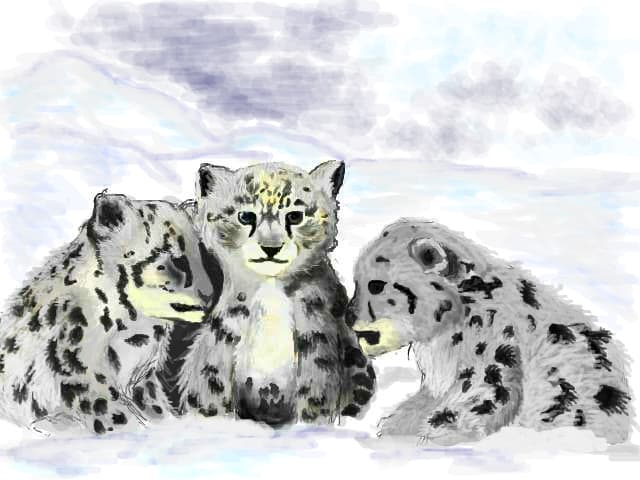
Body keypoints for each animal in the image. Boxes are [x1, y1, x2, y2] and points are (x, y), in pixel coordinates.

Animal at [0, 192, 218, 435]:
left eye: (203, 255)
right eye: (176, 259)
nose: (211, 295)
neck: (137, 333)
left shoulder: (143, 379)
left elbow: (155, 410)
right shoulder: (83, 377)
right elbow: (119, 418)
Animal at [177, 160, 376, 426]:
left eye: (294, 215)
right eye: (245, 216)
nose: (270, 247)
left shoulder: (317, 335)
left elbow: (316, 389)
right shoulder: (224, 336)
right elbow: (211, 384)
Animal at [346, 219, 633, 445]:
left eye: (376, 284)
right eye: (356, 281)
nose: (348, 314)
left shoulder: (490, 350)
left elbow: (479, 394)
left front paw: (434, 433)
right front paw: (396, 423)